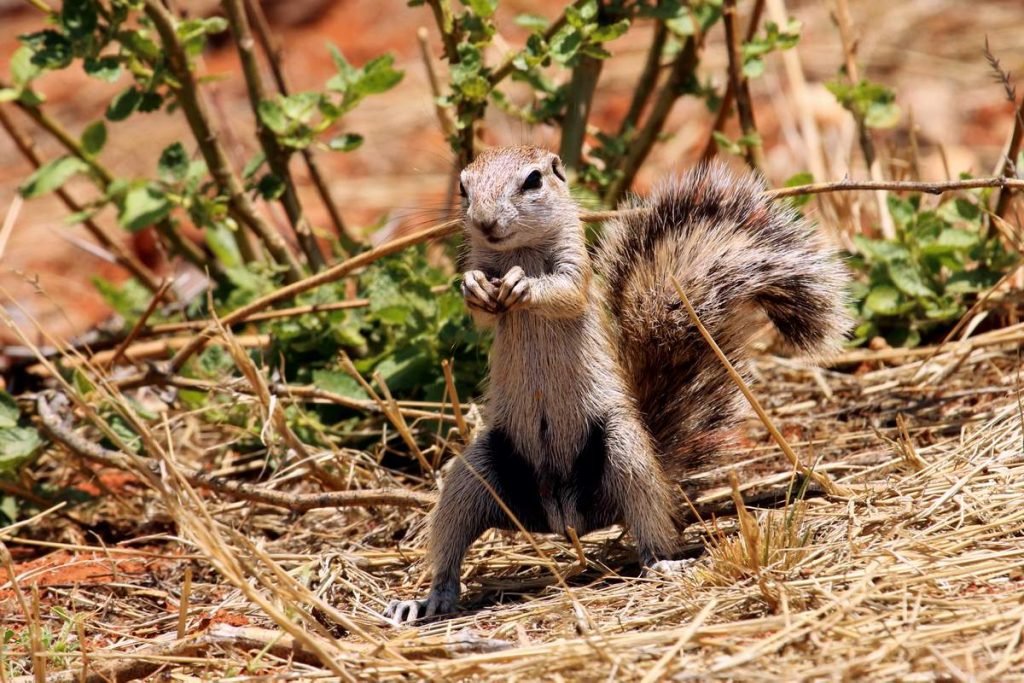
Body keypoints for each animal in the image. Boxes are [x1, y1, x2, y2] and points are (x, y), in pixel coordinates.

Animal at [385, 145, 847, 626]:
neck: (520, 251)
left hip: (624, 453)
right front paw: (474, 286)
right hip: (474, 473)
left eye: (533, 181)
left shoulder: (575, 268)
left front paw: (524, 284)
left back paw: (662, 562)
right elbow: (478, 312)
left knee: (649, 528)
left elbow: (563, 291)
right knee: (451, 546)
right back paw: (428, 601)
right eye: (463, 187)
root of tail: (564, 517)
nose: (485, 223)